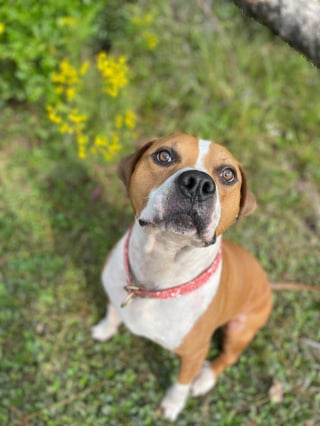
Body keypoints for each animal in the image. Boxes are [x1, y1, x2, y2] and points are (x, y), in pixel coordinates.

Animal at [92, 135, 272, 422]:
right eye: (164, 155)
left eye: (228, 174)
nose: (198, 183)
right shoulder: (115, 289)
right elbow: (112, 312)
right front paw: (104, 329)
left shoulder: (194, 354)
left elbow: (180, 384)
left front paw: (171, 406)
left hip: (240, 328)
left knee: (227, 357)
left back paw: (205, 379)